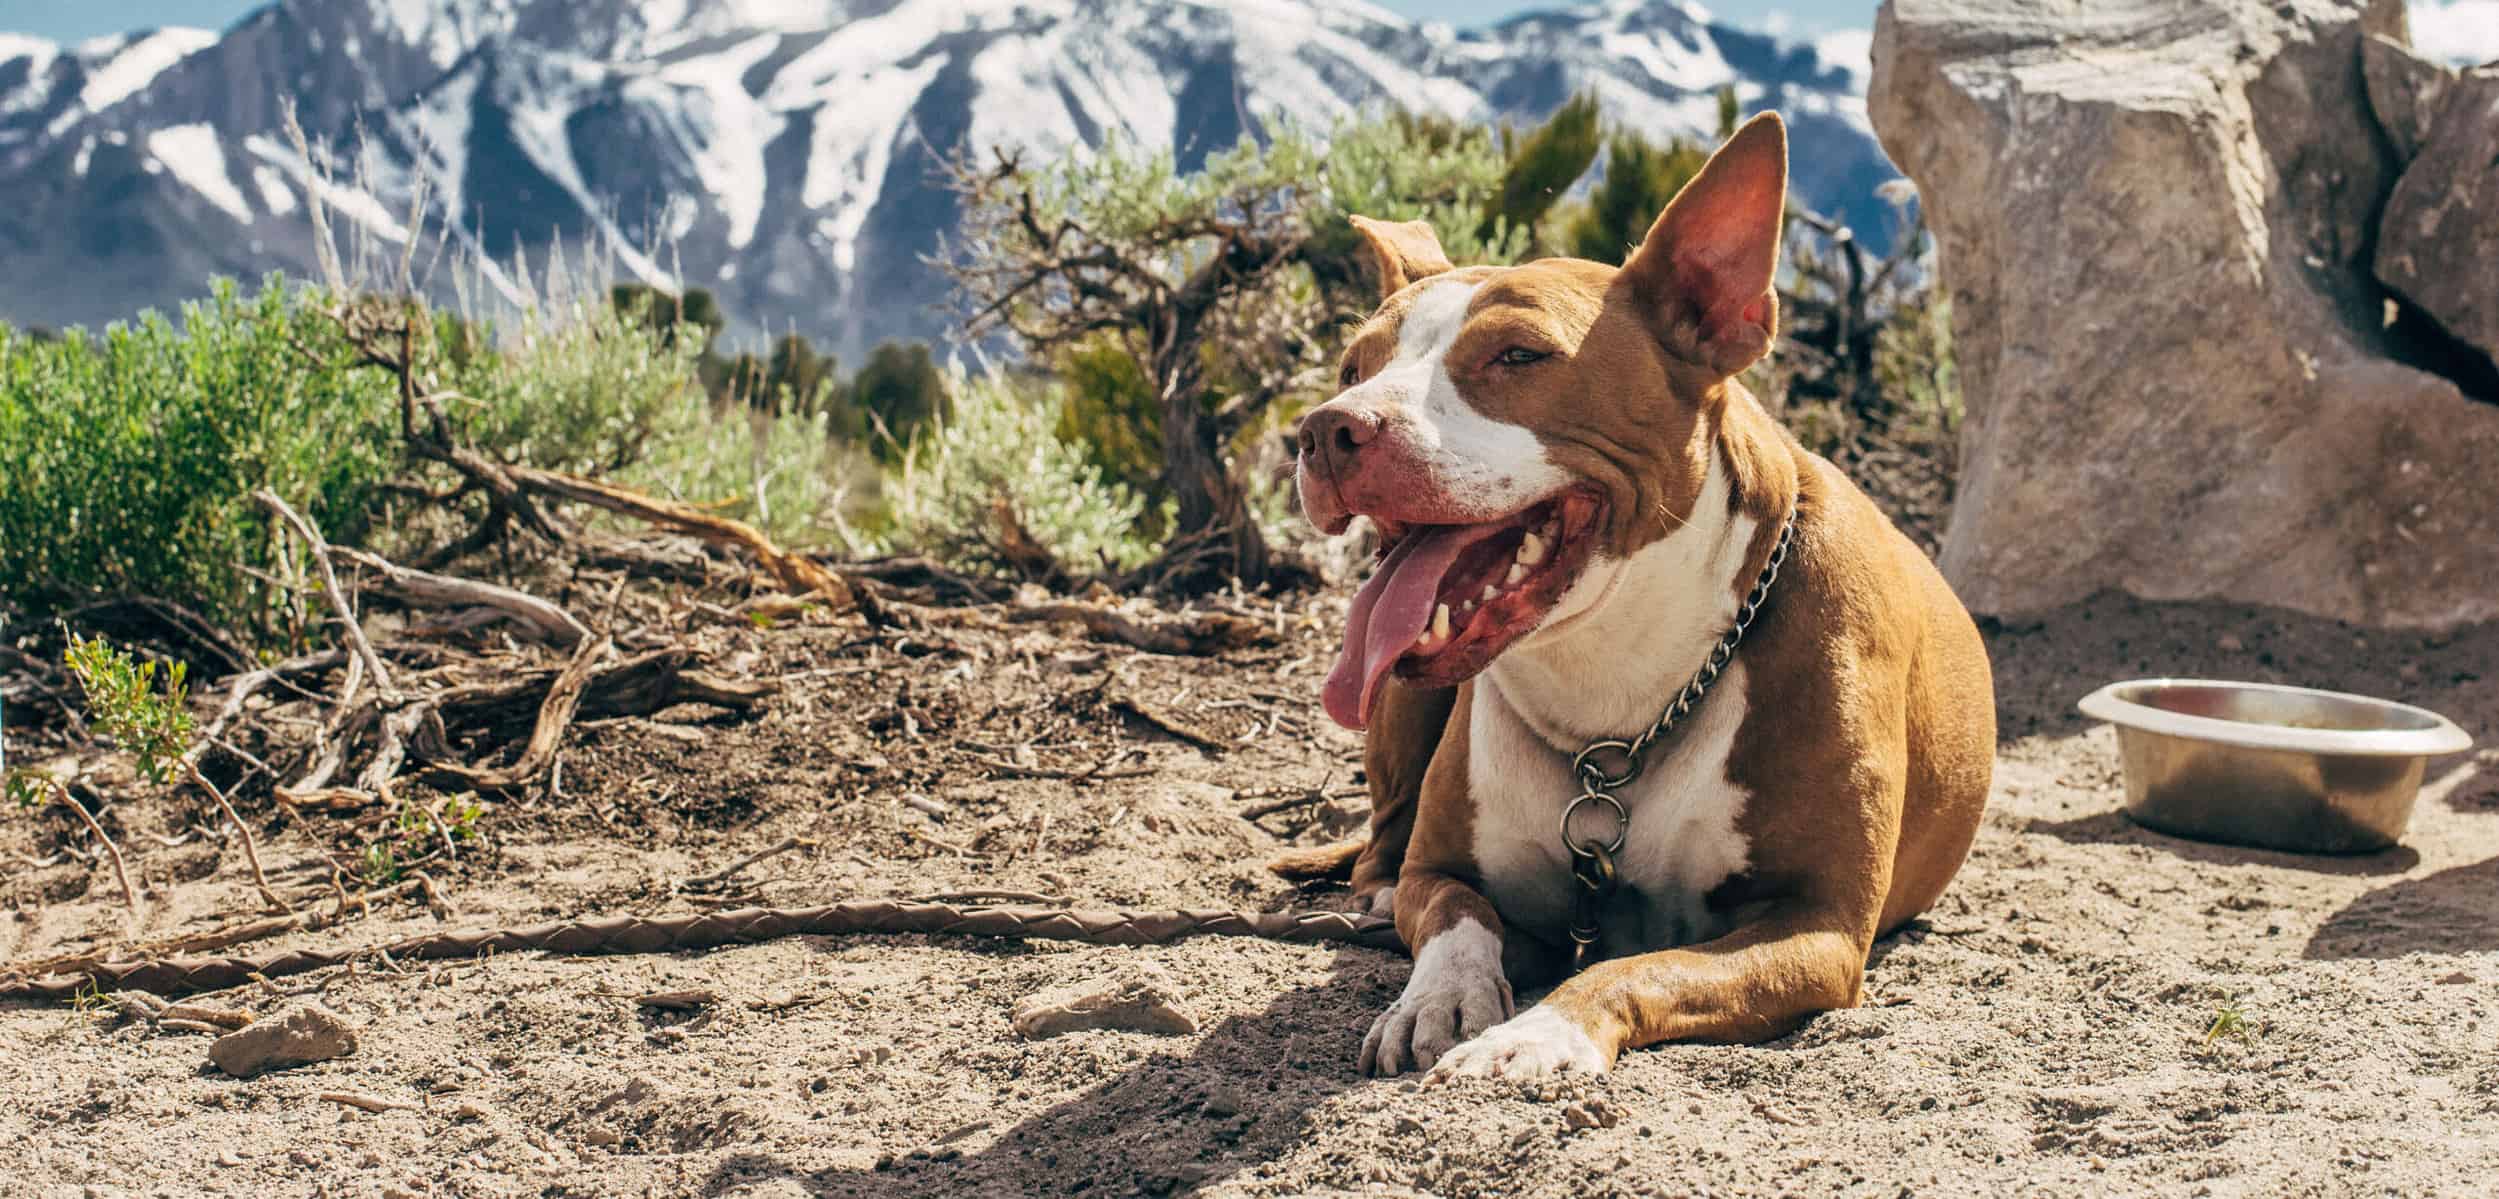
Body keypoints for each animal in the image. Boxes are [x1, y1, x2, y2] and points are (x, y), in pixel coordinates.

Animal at [1299, 117, 1999, 1084]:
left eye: (1518, 355)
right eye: (1352, 365)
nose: (1326, 429)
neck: (1611, 690)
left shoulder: (1816, 928)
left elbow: (1633, 966)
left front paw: (1536, 1031)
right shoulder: (1442, 873)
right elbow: (1456, 921)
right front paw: (1436, 999)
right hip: (1400, 702)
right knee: (1379, 844)